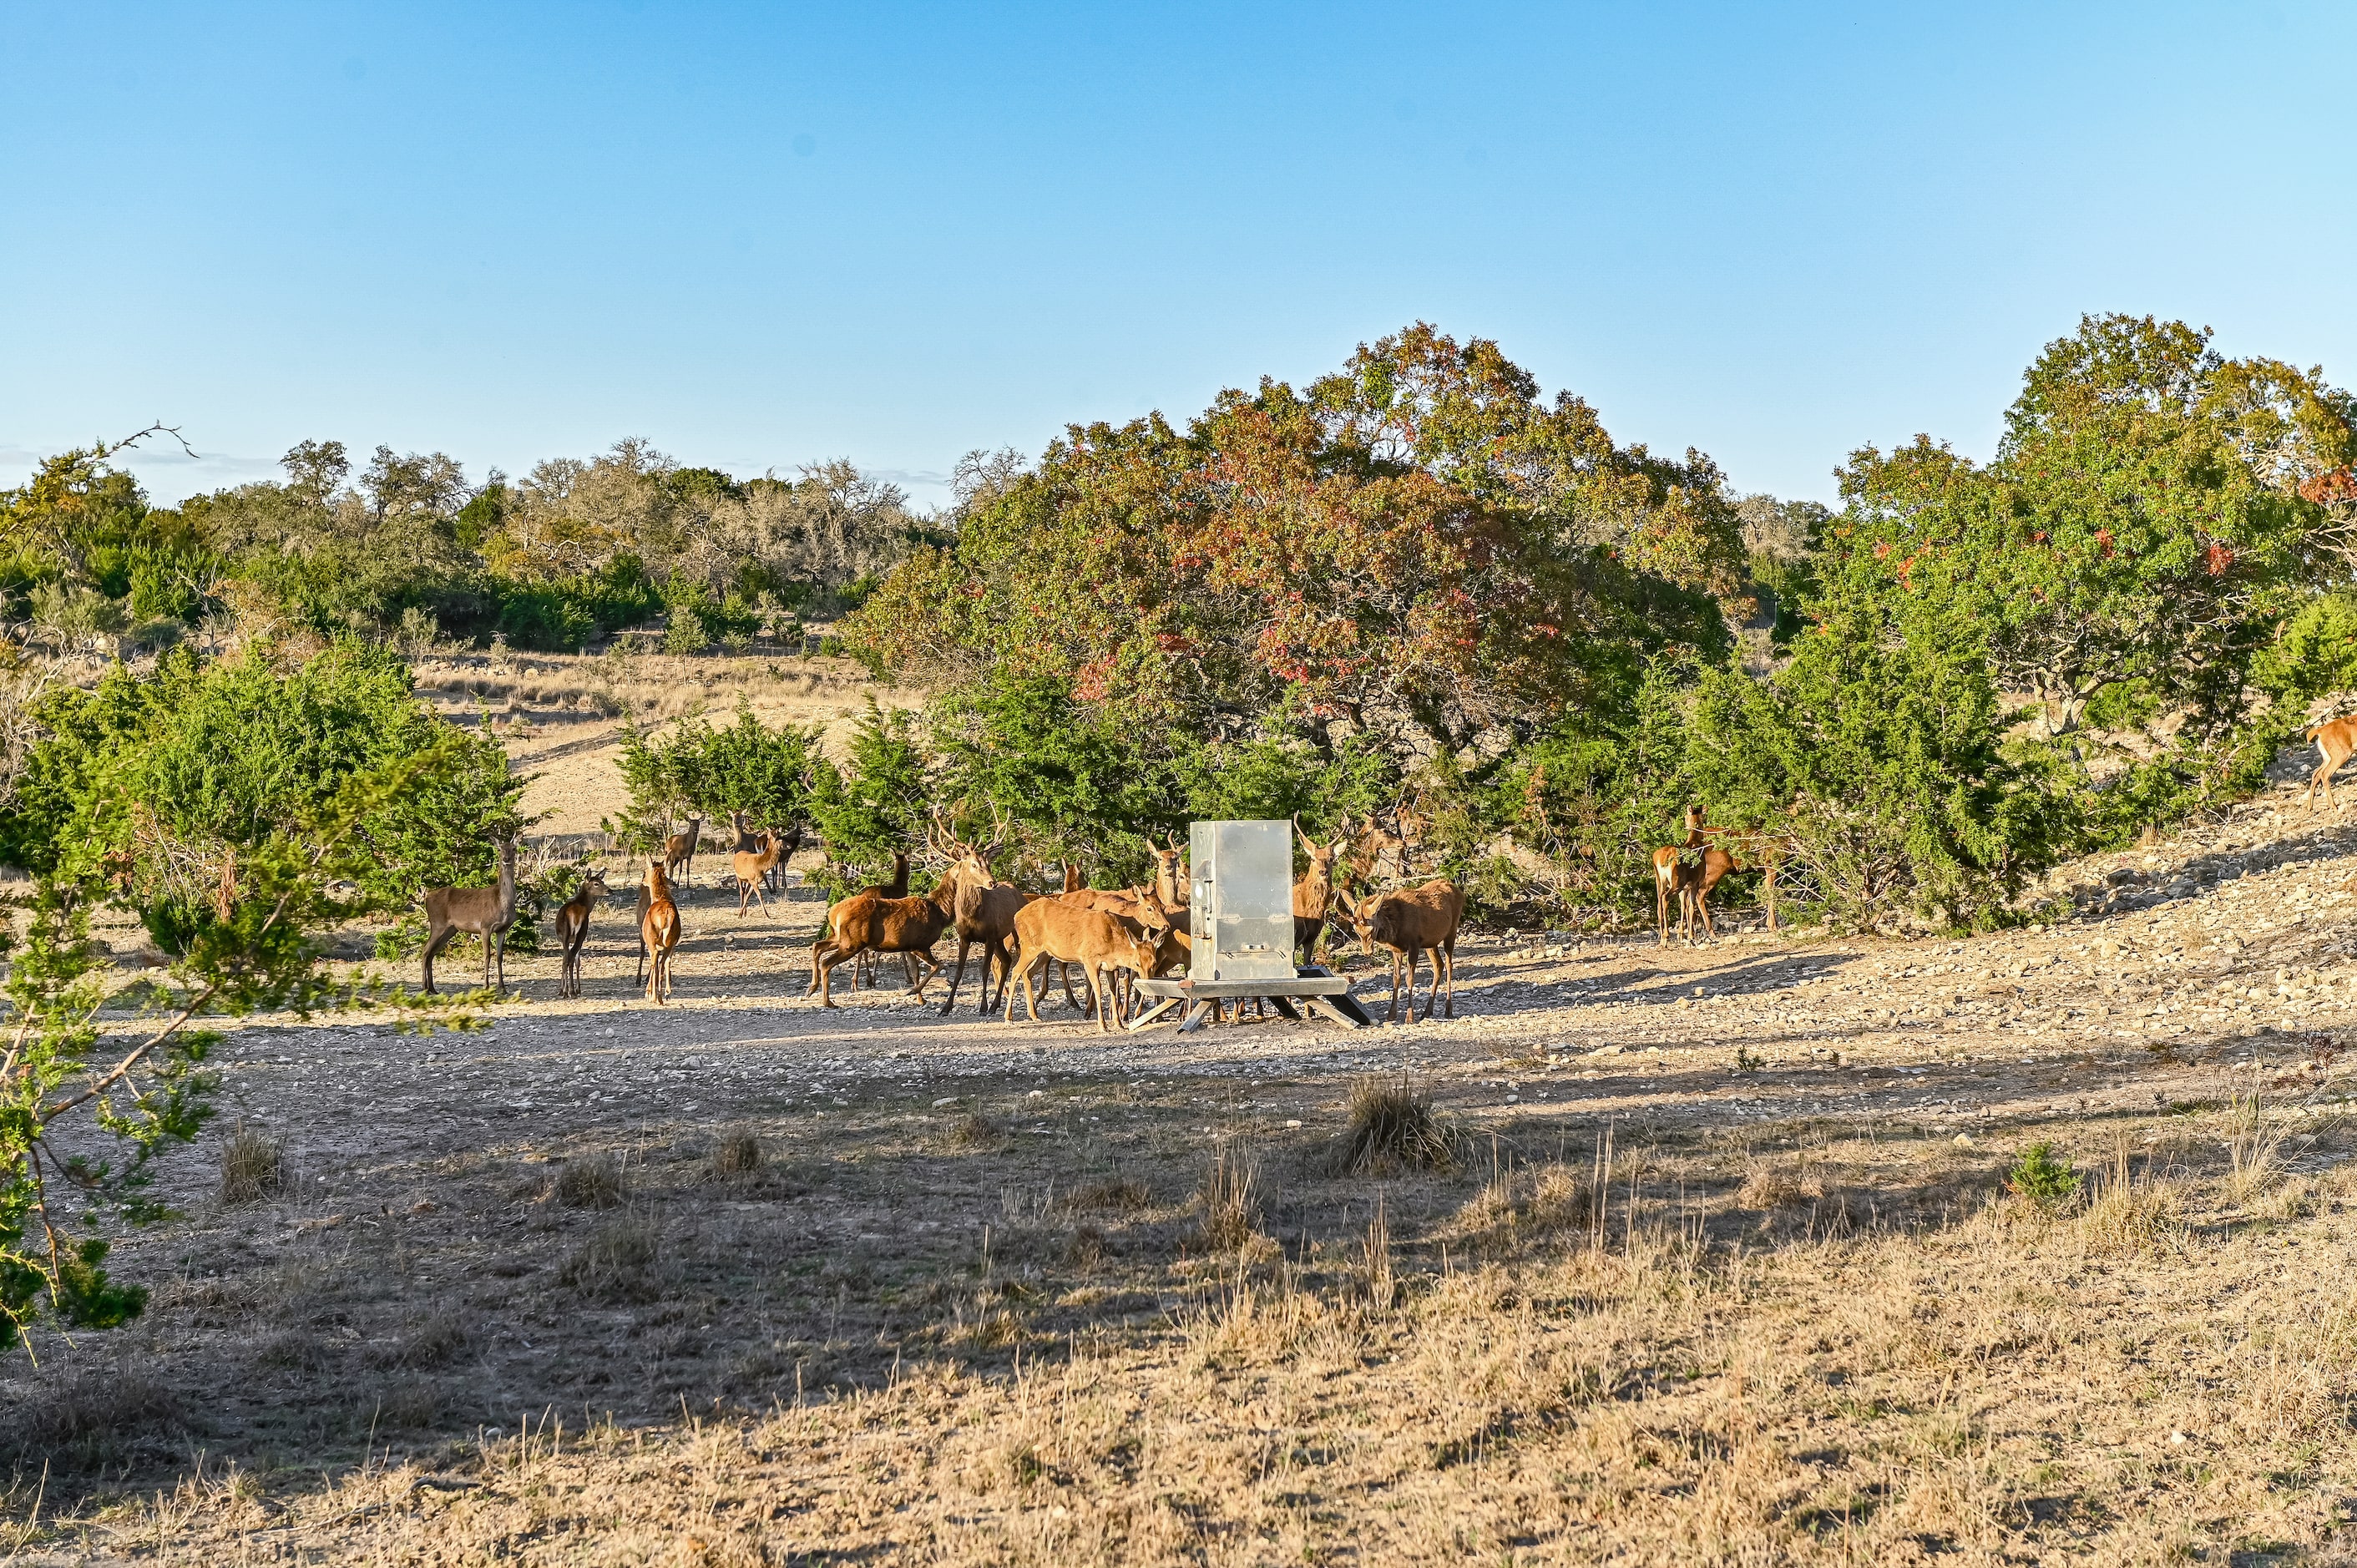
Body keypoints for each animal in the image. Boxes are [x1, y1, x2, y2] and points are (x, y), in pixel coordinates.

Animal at [551, 862, 608, 994]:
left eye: (602, 881)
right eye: (596, 883)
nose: (610, 890)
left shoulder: (564, 940)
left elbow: (565, 960)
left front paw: (563, 988)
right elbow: (573, 960)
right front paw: (573, 989)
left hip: (573, 935)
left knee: (569, 958)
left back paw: (568, 991)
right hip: (580, 933)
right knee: (571, 958)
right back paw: (570, 990)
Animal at [640, 857, 688, 1004]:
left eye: (645, 871)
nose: (643, 881)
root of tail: (667, 915)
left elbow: (655, 963)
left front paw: (649, 993)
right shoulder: (673, 943)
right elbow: (667, 962)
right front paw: (667, 992)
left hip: (654, 941)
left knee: (657, 962)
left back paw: (656, 997)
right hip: (670, 941)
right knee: (663, 962)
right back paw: (660, 996)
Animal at [1004, 886, 1169, 1032]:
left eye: (1154, 962)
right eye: (1137, 963)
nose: (1166, 926)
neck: (1111, 943)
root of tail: (1016, 916)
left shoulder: (1110, 966)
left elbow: (1113, 989)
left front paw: (1118, 1023)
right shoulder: (1089, 960)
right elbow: (1098, 988)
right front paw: (1103, 1025)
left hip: (1044, 952)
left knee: (1028, 973)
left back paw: (1034, 1015)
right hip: (1029, 946)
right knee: (1016, 972)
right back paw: (1009, 1018)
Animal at [1338, 872, 1461, 1023]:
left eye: (1372, 929)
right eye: (1356, 931)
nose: (1367, 952)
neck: (1396, 927)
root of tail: (1459, 891)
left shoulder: (1414, 944)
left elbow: (1409, 978)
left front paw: (1409, 1017)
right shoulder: (1396, 950)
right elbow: (1396, 978)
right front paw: (1391, 1015)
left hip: (1452, 930)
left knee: (1449, 964)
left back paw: (1448, 1009)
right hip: (1430, 942)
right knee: (1439, 965)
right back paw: (1427, 1012)